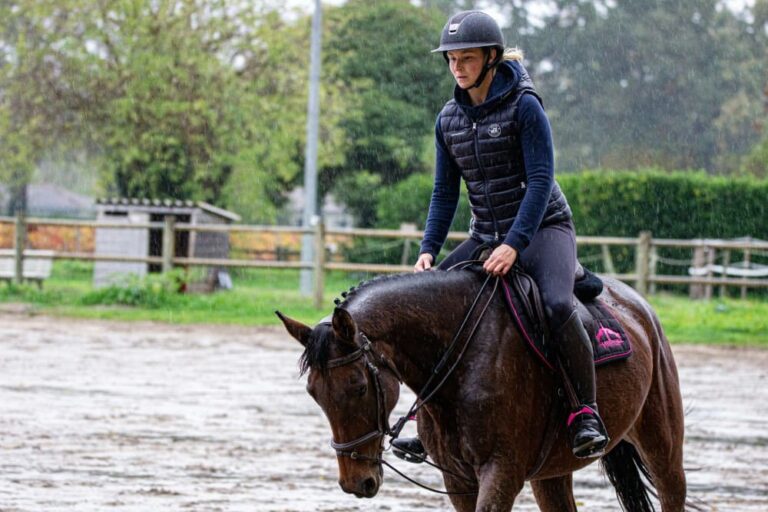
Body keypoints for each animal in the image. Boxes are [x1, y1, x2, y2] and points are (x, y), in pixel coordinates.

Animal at [277, 267, 687, 511]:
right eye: (314, 393)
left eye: (359, 386)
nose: (356, 481)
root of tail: (637, 305)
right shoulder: (457, 478)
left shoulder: (501, 472)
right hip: (551, 473)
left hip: (661, 446)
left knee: (671, 489)